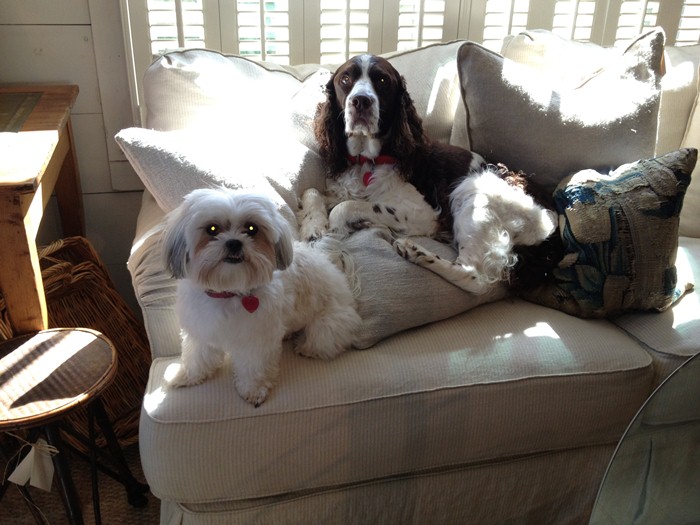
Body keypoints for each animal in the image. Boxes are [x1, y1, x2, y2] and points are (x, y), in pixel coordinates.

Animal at [163, 187, 361, 406]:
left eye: (251, 228)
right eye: (212, 229)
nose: (234, 243)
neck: (229, 290)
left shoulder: (256, 338)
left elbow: (253, 366)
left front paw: (253, 390)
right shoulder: (201, 328)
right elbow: (196, 356)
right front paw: (185, 376)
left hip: (326, 326)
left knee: (325, 341)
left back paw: (306, 347)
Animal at [300, 54, 558, 293]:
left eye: (382, 80)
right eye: (345, 79)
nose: (361, 101)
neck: (367, 160)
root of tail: (553, 221)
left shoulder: (423, 212)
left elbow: (343, 210)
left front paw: (332, 246)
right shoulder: (341, 190)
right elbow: (312, 192)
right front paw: (313, 229)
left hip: (474, 191)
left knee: (475, 277)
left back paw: (415, 251)